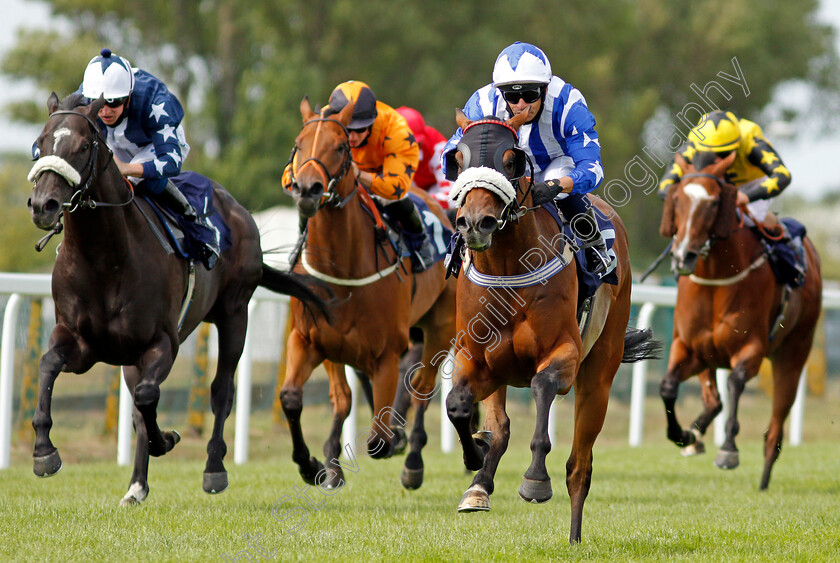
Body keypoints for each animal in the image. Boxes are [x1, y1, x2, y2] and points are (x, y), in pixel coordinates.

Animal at [26, 92, 328, 506]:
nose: (44, 205)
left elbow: (148, 396)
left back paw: (214, 468)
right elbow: (49, 365)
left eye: (83, 146)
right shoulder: (81, 341)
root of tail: (239, 211)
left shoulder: (162, 343)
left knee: (221, 391)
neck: (104, 257)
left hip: (235, 313)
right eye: (40, 143)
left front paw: (166, 439)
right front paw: (44, 451)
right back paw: (136, 486)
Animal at [282, 99, 456, 492]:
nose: (307, 189)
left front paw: (393, 440)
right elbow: (304, 399)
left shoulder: (387, 353)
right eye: (298, 144)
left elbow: (378, 434)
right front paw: (316, 465)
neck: (343, 267)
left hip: (441, 328)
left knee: (422, 386)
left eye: (339, 146)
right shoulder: (311, 340)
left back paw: (413, 460)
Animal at [442, 111, 660, 548]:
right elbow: (458, 406)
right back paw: (480, 483)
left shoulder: (564, 354)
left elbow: (542, 387)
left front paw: (535, 480)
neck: (508, 268)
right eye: (457, 157)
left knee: (580, 466)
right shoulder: (477, 358)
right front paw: (474, 459)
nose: (475, 223)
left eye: (511, 159)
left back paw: (574, 537)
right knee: (501, 428)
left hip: (599, 374)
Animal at [656, 153, 820, 490]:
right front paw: (682, 434)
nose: (683, 255)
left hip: (793, 354)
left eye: (714, 203)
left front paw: (728, 450)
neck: (715, 277)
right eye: (677, 199)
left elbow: (736, 382)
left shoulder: (752, 349)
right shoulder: (689, 347)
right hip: (709, 356)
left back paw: (764, 478)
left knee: (775, 426)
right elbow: (668, 386)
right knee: (713, 400)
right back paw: (695, 436)